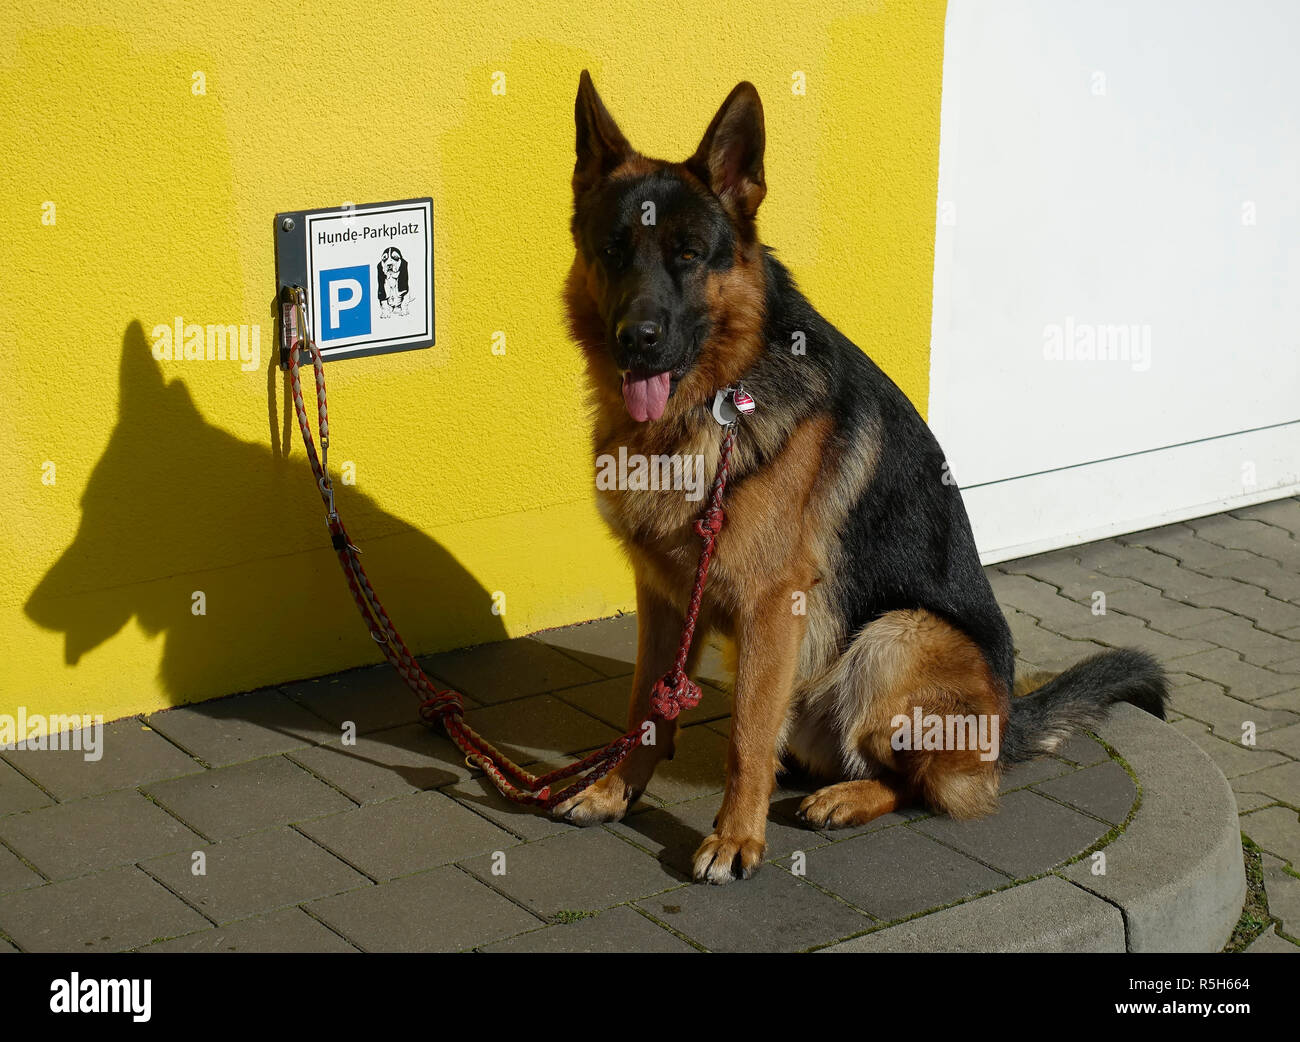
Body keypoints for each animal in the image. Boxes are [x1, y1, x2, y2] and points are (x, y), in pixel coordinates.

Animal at [559, 73, 1170, 883]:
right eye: (614, 250)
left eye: (689, 254)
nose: (638, 342)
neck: (711, 404)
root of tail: (1006, 724)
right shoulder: (664, 599)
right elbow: (645, 711)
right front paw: (613, 792)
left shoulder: (771, 605)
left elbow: (744, 737)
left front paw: (736, 837)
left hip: (895, 639)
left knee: (929, 784)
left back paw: (845, 799)